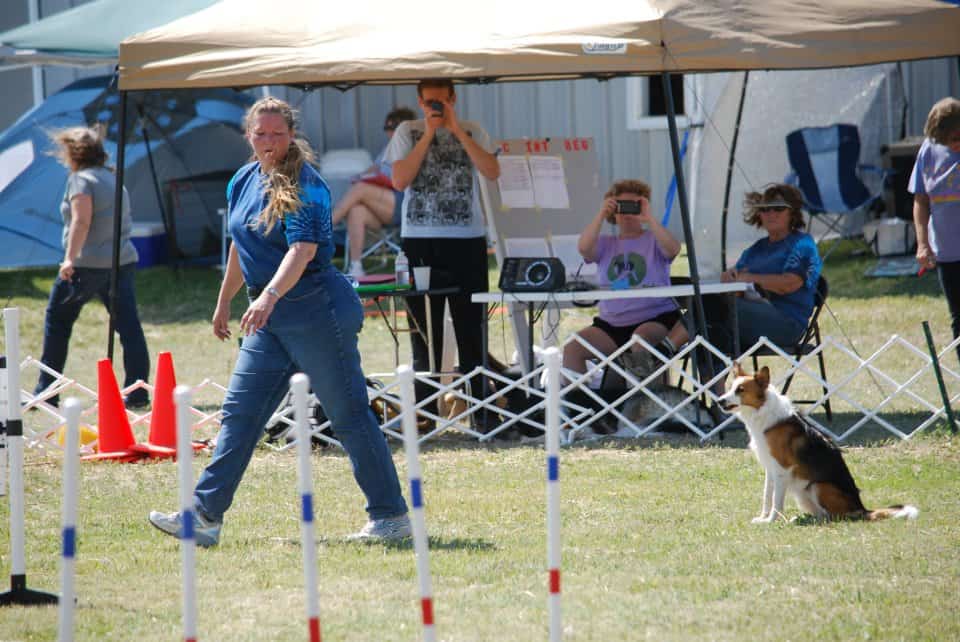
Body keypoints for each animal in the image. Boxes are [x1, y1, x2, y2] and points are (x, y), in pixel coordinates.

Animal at [716, 362, 920, 524]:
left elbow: (776, 500)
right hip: (802, 493)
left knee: (837, 516)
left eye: (741, 390)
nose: (719, 401)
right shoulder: (770, 468)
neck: (763, 411)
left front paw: (770, 521)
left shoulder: (782, 469)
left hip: (817, 486)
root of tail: (862, 508)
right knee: (823, 514)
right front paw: (762, 517)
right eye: (730, 388)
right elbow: (767, 496)